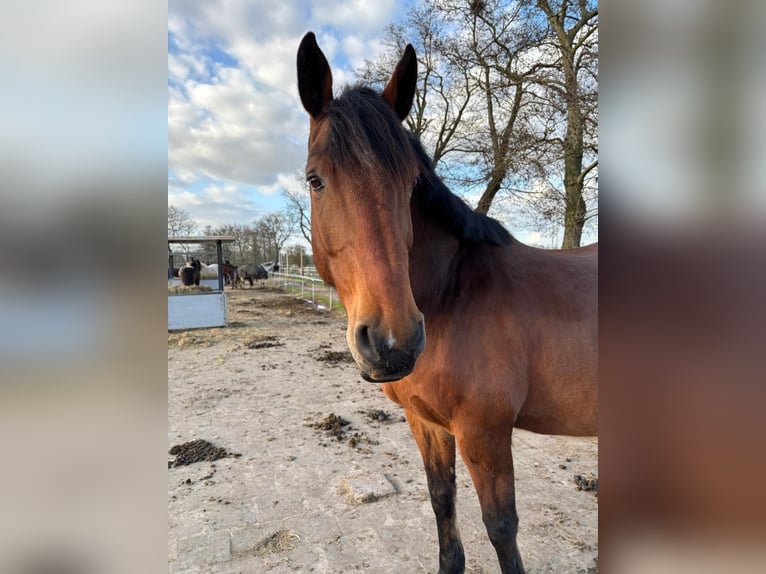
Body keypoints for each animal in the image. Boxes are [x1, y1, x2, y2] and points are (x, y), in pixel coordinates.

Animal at [297, 32, 597, 574]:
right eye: (316, 179)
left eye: (411, 183)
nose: (393, 342)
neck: (451, 294)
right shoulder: (427, 424)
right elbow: (443, 505)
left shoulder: (485, 434)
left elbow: (501, 528)